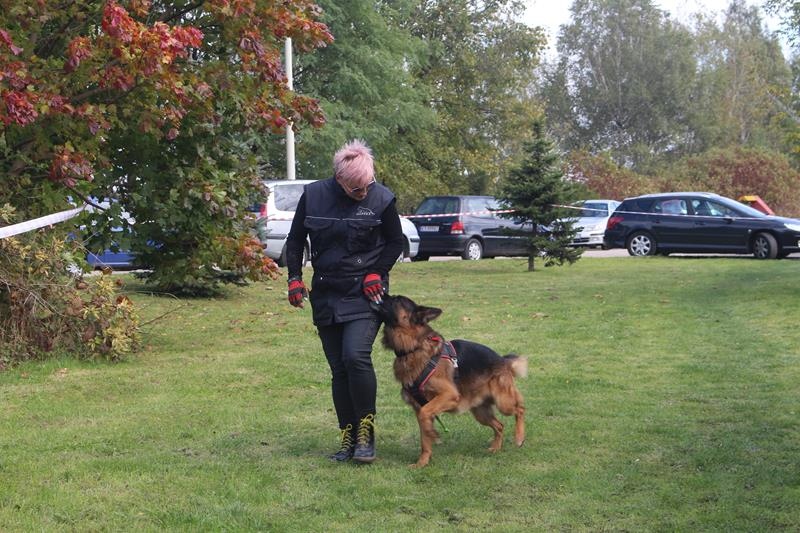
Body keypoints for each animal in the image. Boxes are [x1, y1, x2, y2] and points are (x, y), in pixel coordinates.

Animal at [376, 294, 527, 467]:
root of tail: (502, 360)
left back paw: (519, 437)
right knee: (500, 426)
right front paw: (422, 463)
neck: (415, 346)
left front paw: (433, 435)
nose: (382, 294)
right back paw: (496, 447)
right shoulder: (419, 407)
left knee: (520, 409)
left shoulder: (448, 396)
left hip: (504, 403)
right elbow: (424, 437)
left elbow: (425, 415)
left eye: (397, 300)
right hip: (481, 413)